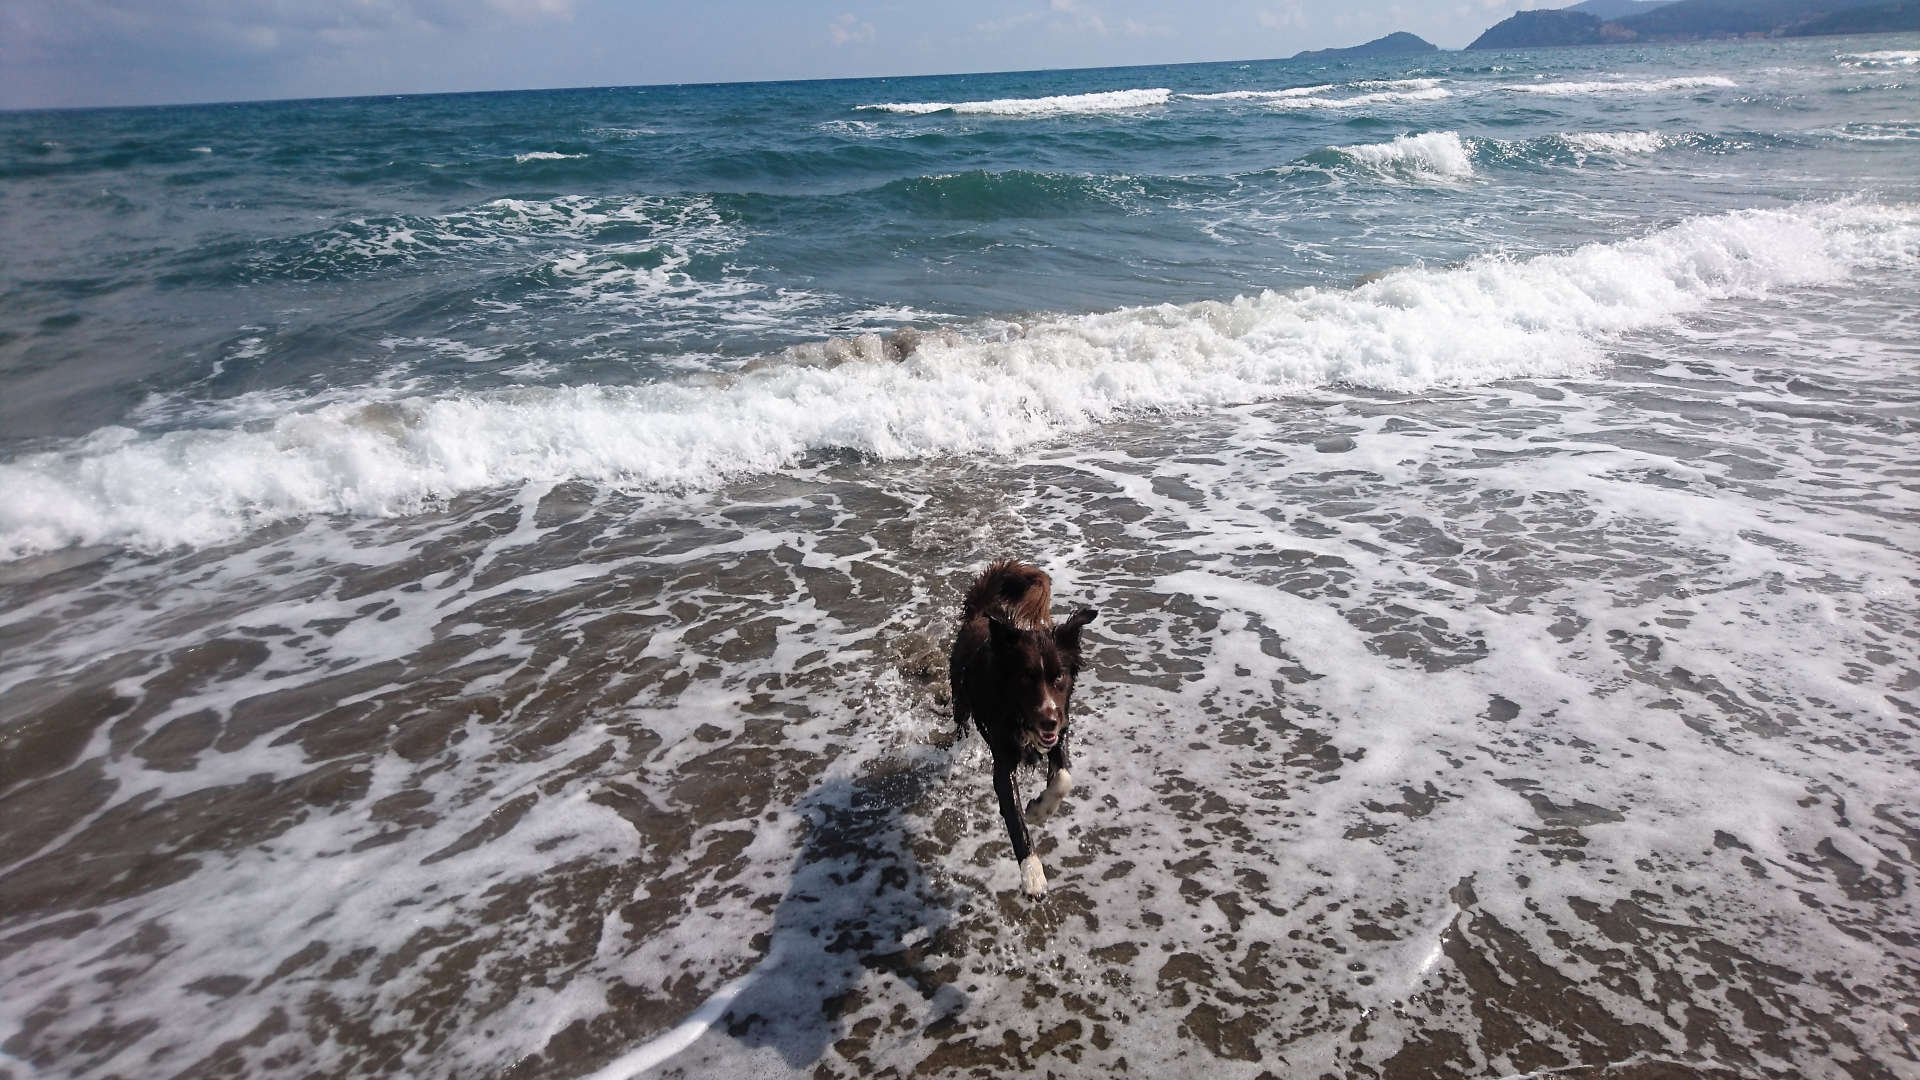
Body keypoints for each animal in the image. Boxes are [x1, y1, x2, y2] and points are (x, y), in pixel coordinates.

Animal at [948, 559, 1097, 897]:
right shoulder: (1003, 763)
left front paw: (1039, 809)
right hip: (960, 700)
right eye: (1026, 677)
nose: (1049, 721)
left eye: (1059, 677)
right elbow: (1015, 820)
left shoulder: (1060, 732)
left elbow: (1064, 778)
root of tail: (980, 615)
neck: (1019, 713)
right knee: (960, 725)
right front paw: (1032, 874)